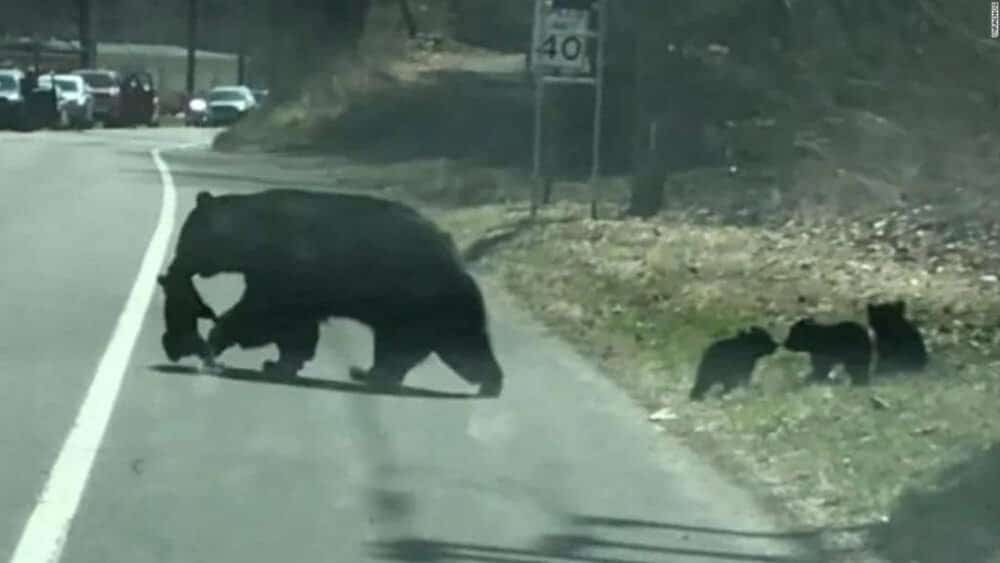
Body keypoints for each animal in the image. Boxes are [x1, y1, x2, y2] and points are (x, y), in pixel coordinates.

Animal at [158, 189, 504, 397]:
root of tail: (457, 257)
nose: (173, 267)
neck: (253, 235)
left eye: (185, 240)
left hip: (420, 298)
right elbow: (295, 326)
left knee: (438, 344)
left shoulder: (286, 265)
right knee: (449, 343)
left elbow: (265, 312)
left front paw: (217, 338)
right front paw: (281, 363)